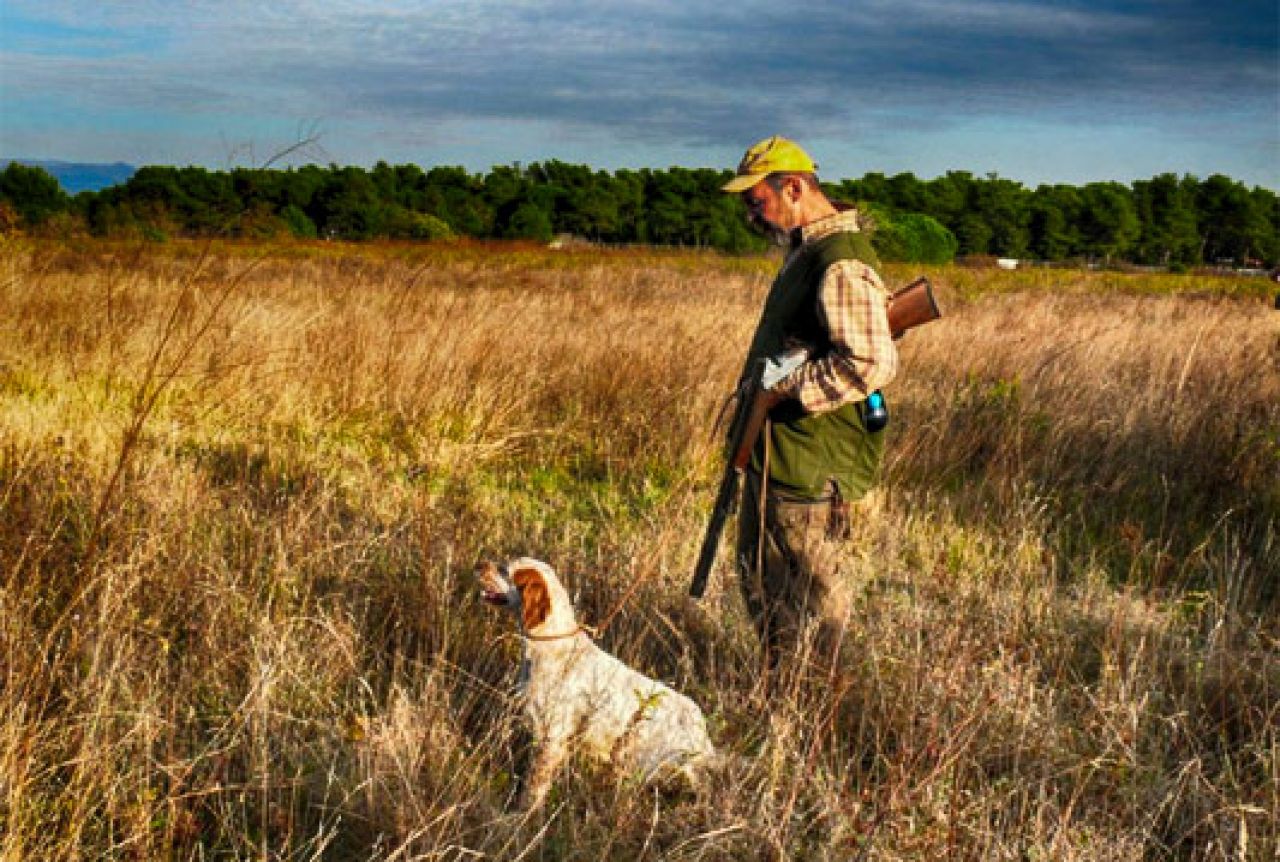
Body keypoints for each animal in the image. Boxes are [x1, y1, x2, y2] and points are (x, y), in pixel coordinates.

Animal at [478, 558, 721, 809]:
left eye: (505, 570)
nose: (480, 565)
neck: (553, 645)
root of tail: (701, 731)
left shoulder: (552, 738)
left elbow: (534, 788)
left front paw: (523, 813)